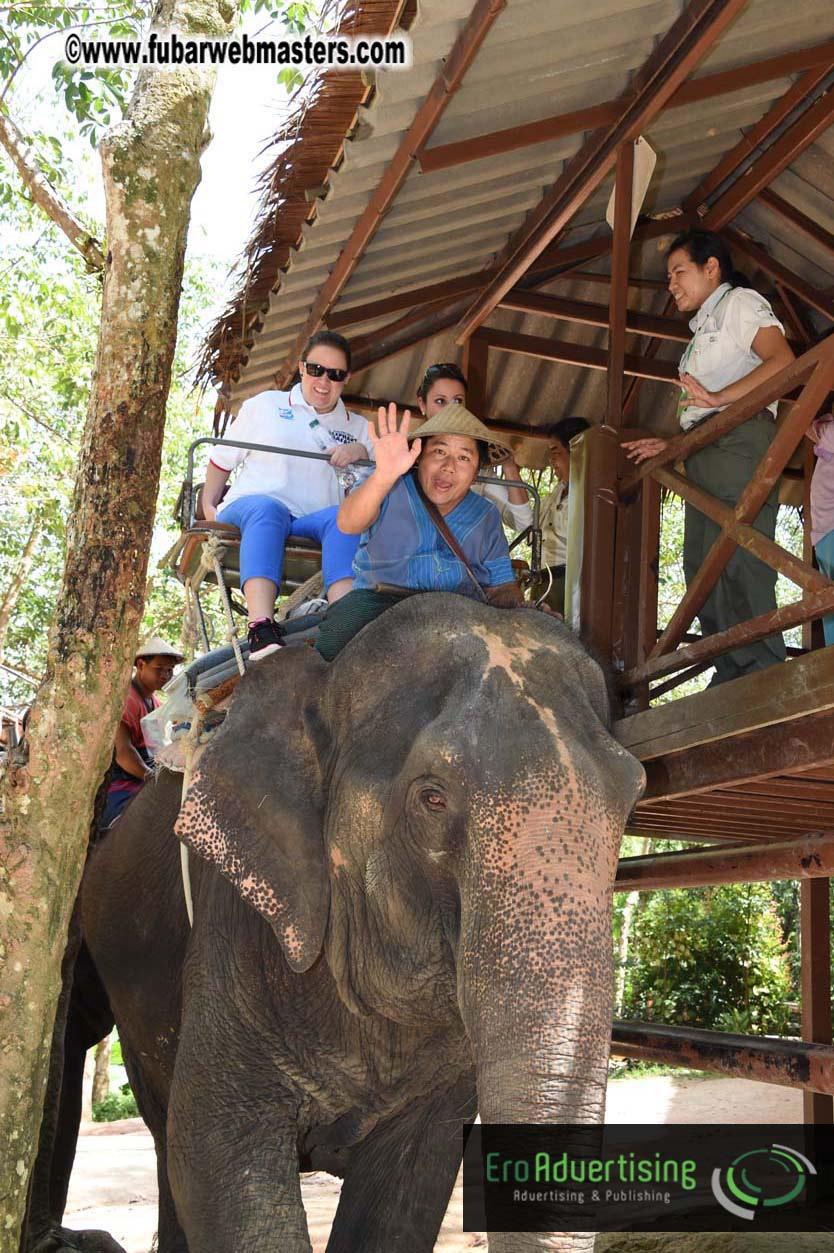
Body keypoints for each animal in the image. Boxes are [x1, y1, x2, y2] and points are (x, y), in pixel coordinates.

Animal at [59, 593, 644, 1252]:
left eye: (633, 796)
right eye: (432, 797)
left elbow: (410, 1185)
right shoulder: (233, 927)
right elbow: (214, 1154)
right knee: (166, 1139)